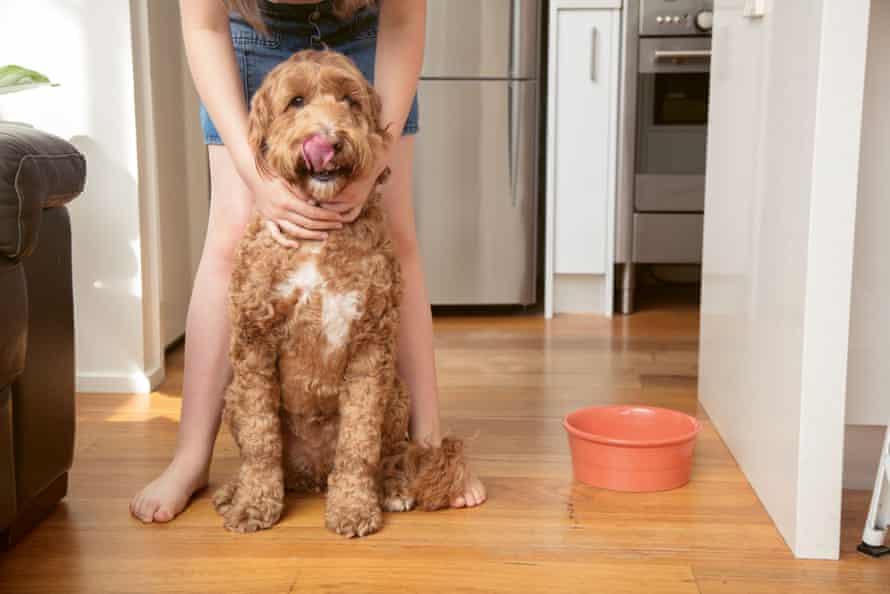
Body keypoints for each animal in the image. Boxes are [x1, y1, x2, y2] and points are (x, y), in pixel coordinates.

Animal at [213, 48, 464, 536]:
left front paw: (353, 507)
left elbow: (358, 444)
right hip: (231, 398)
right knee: (266, 453)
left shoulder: (371, 345)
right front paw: (253, 504)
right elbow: (260, 441)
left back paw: (392, 488)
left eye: (350, 101)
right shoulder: (253, 342)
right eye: (295, 102)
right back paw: (234, 489)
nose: (328, 140)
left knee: (388, 453)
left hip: (396, 394)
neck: (319, 235)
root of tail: (311, 475)